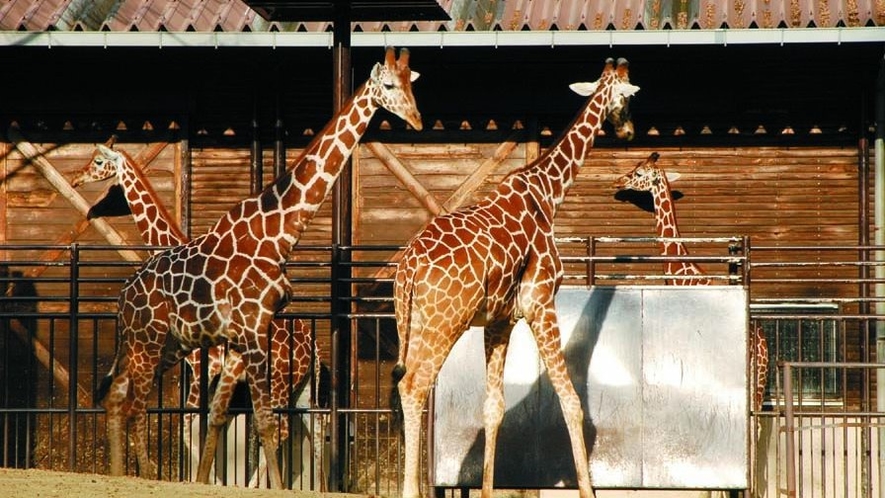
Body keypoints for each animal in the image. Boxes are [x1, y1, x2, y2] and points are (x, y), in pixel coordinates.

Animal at [70, 145, 318, 486]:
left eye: (99, 165)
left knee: (280, 427)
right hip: (300, 386)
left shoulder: (202, 366)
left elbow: (189, 423)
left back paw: (255, 484)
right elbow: (204, 420)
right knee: (312, 429)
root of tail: (312, 350)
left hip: (279, 379)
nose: (77, 179)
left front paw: (207, 479)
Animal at [96, 47, 422, 490]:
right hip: (150, 340)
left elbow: (218, 416)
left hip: (164, 345)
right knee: (135, 403)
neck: (278, 231)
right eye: (388, 84)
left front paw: (208, 480)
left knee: (118, 396)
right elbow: (259, 421)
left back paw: (122, 474)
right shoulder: (247, 333)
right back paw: (144, 477)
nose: (417, 119)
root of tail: (123, 297)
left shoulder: (239, 339)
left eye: (411, 84)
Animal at [392, 58, 636, 498]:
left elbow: (494, 407)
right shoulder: (541, 303)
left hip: (414, 322)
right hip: (444, 323)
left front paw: (488, 489)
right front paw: (587, 490)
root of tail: (408, 269)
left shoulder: (500, 320)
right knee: (415, 385)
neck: (548, 193)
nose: (628, 130)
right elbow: (570, 400)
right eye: (627, 98)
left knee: (409, 385)